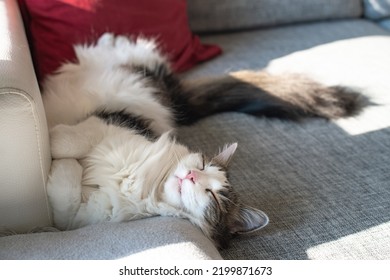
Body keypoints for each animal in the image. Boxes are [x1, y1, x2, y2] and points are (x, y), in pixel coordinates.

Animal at [44, 32, 364, 247]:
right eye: (200, 165)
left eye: (213, 197)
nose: (191, 177)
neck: (140, 182)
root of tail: (181, 100)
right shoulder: (108, 123)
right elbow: (74, 140)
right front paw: (52, 139)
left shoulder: (82, 215)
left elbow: (64, 196)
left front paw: (57, 160)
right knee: (121, 49)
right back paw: (109, 39)